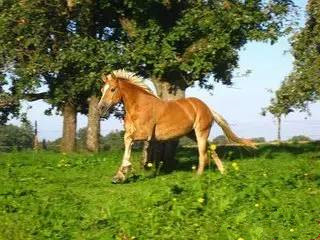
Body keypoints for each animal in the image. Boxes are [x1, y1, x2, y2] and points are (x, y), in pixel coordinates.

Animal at [97, 70, 255, 183]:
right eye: (102, 90)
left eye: (112, 89)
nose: (100, 109)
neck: (139, 106)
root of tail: (207, 107)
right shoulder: (135, 133)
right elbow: (126, 141)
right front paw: (120, 176)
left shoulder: (145, 134)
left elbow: (128, 140)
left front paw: (123, 171)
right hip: (192, 134)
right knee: (211, 150)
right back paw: (223, 172)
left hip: (201, 132)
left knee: (203, 154)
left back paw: (197, 177)